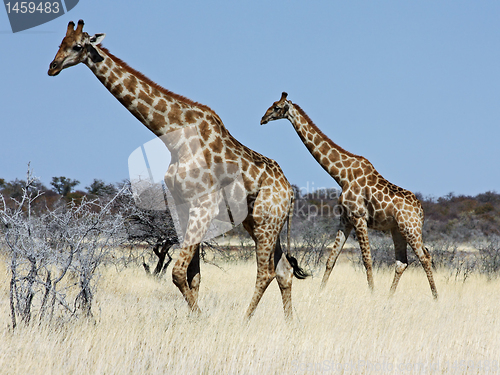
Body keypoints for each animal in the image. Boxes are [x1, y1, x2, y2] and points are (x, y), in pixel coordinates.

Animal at [48, 21, 306, 320]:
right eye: (60, 42)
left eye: (78, 46)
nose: (52, 66)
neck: (174, 135)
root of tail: (289, 192)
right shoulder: (183, 207)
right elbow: (193, 276)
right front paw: (194, 319)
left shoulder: (203, 205)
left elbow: (178, 272)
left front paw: (201, 319)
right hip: (259, 222)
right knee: (283, 270)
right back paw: (289, 324)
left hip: (266, 222)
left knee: (265, 272)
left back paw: (245, 321)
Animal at [262, 92, 438, 300]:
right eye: (272, 104)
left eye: (277, 107)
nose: (262, 119)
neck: (342, 175)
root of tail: (420, 211)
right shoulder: (345, 219)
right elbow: (331, 259)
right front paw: (320, 292)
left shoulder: (359, 217)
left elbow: (367, 260)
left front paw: (372, 294)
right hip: (398, 230)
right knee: (402, 262)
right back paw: (389, 297)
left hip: (411, 228)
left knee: (425, 257)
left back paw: (435, 297)